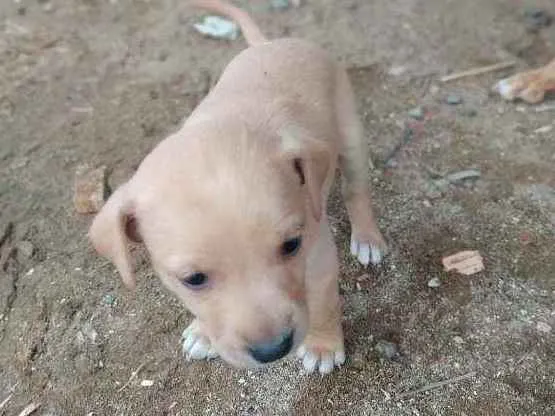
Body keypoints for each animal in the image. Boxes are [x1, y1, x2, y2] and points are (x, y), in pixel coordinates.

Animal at [90, 0, 386, 374]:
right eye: (193, 279)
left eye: (292, 245)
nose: (273, 350)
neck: (230, 123)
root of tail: (268, 44)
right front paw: (203, 332)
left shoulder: (318, 255)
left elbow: (323, 302)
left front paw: (323, 346)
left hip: (350, 137)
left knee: (356, 191)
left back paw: (368, 239)